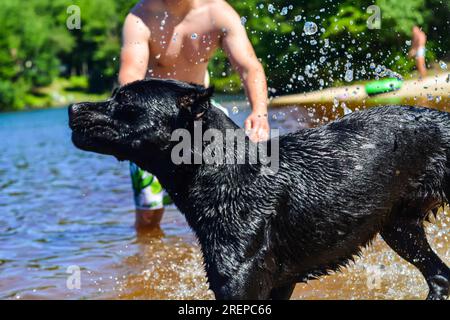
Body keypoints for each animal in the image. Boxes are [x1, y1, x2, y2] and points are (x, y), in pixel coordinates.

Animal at [68, 78, 448, 300]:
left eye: (124, 100)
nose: (72, 107)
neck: (223, 172)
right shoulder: (278, 284)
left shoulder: (240, 284)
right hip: (400, 230)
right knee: (440, 277)